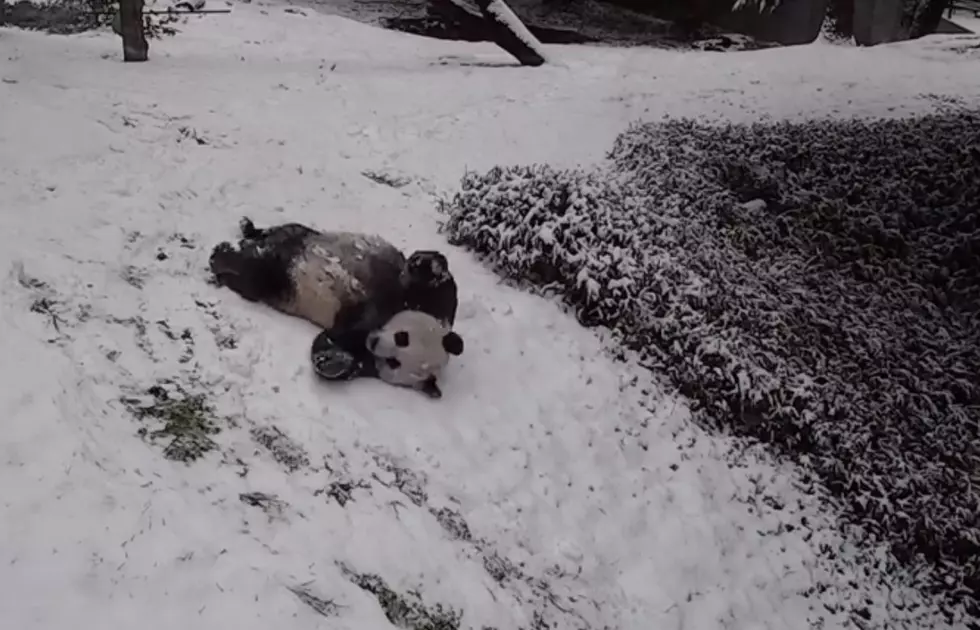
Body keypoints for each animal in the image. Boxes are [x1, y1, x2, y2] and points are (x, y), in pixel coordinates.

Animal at [206, 218, 464, 400]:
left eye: (394, 362)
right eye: (403, 338)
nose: (375, 343)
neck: (387, 314)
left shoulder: (365, 350)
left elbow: (336, 346)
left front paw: (331, 361)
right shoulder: (429, 302)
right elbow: (436, 278)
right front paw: (428, 264)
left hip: (278, 284)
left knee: (253, 277)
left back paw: (224, 257)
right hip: (301, 238)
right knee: (281, 235)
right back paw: (242, 234)